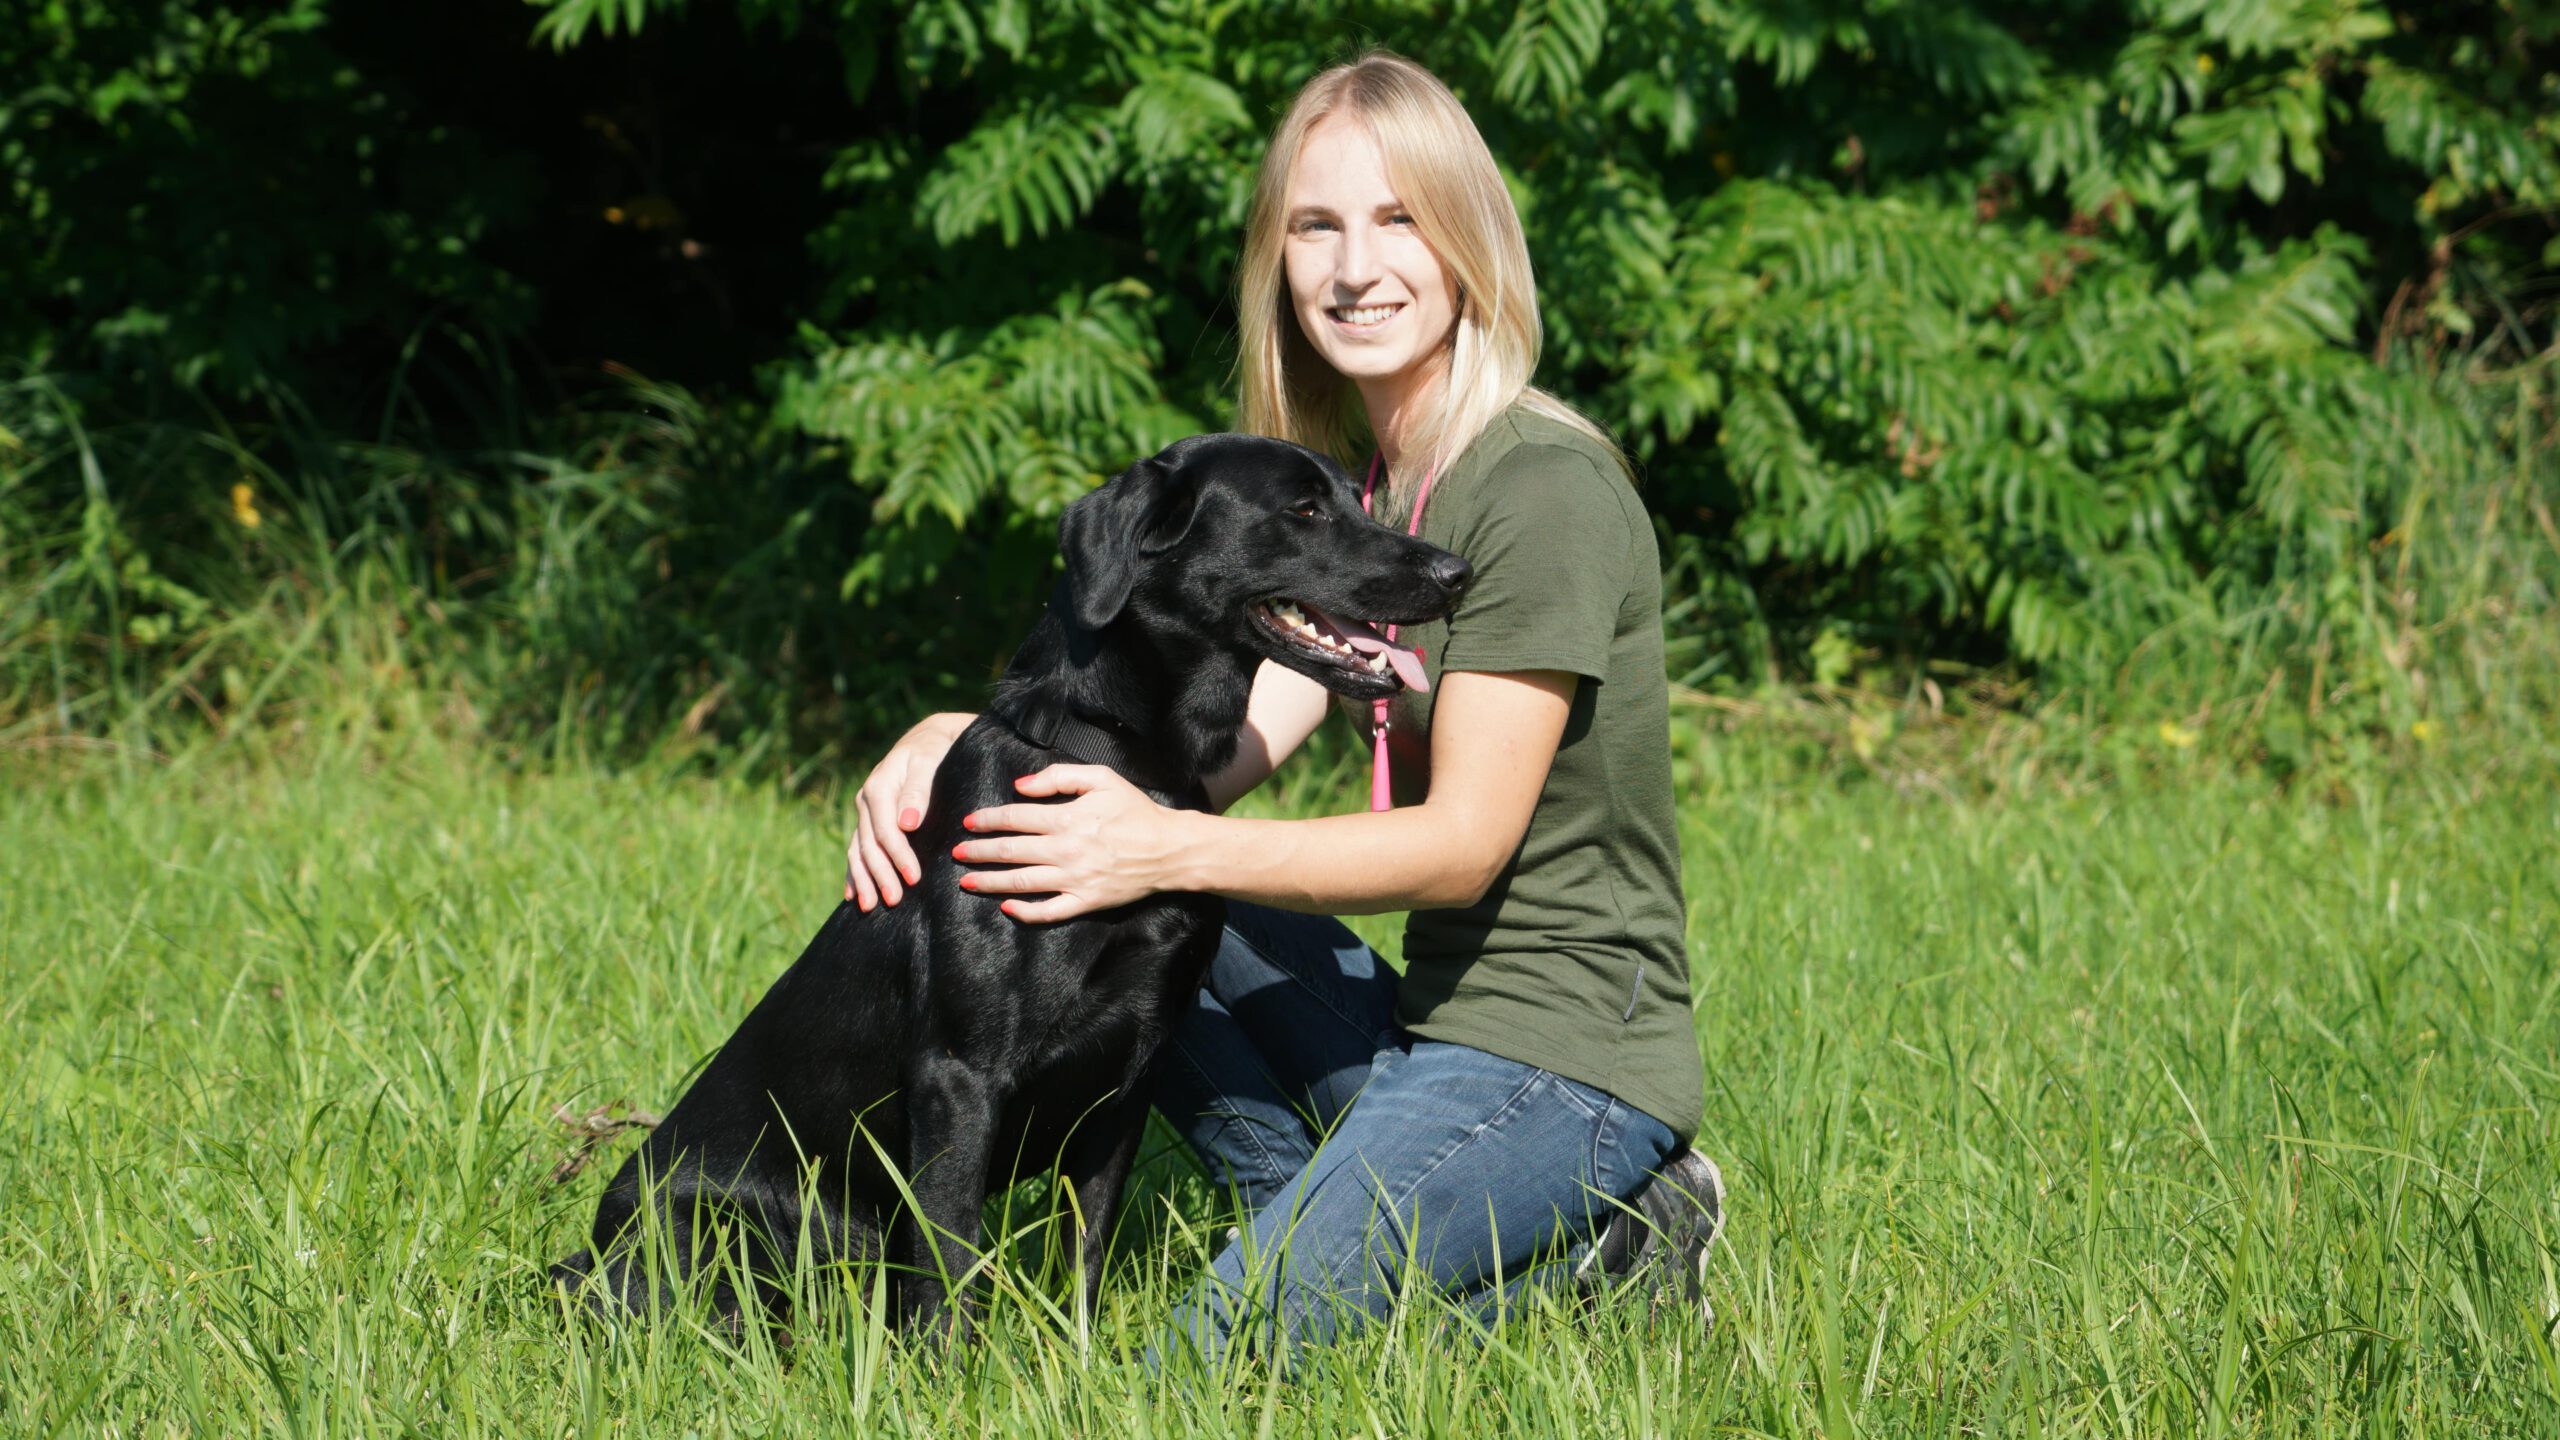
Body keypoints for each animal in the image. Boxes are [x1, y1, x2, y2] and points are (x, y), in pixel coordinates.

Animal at [565, 430, 1484, 1332]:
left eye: (1356, 500)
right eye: (1302, 509)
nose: (1456, 573)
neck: (1122, 767)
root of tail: (587, 1255)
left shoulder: (1126, 1084)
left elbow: (1085, 1256)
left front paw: (1077, 1359)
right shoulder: (958, 1076)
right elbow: (948, 1266)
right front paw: (950, 1370)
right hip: (740, 1235)